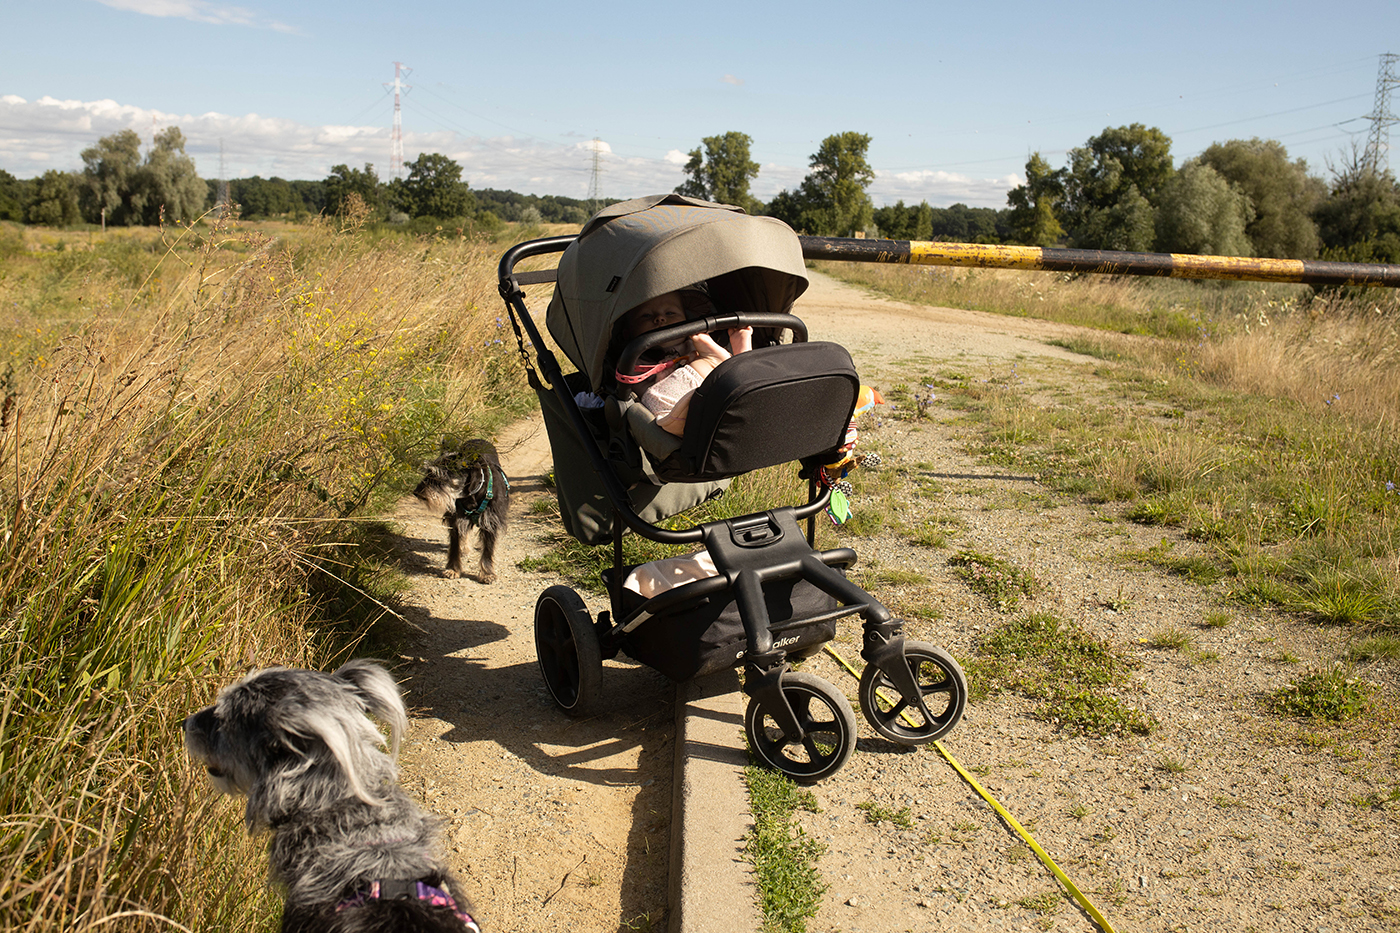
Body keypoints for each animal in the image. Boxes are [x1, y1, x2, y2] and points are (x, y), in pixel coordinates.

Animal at [412, 438, 509, 584]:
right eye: (428, 472)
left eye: (440, 475)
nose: (416, 492)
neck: (470, 494)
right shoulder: (456, 520)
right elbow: (454, 546)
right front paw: (453, 569)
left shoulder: (489, 521)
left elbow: (488, 549)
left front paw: (487, 574)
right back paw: (464, 548)